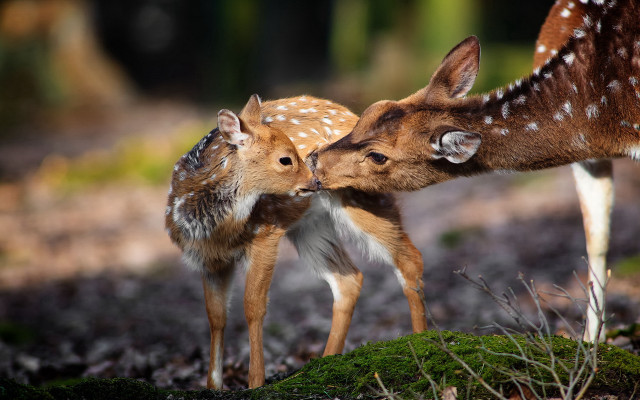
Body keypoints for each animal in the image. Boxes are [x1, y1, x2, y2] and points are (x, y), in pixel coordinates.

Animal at [165, 94, 426, 389]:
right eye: (285, 159)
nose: (315, 179)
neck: (216, 229)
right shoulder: (208, 261)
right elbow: (215, 316)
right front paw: (214, 386)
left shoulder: (265, 233)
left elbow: (253, 307)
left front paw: (256, 382)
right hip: (310, 227)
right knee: (349, 278)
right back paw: (327, 360)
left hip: (366, 199)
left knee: (410, 258)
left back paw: (421, 343)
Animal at [313, 0, 639, 341]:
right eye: (369, 111)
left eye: (378, 156)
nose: (314, 158)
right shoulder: (587, 155)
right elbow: (597, 240)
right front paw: (590, 343)